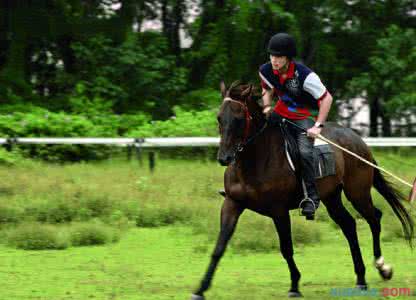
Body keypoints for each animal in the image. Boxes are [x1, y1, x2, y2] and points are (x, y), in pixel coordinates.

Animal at [191, 82, 412, 300]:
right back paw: (361, 278)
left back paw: (382, 267)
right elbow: (219, 247)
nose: (224, 158)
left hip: (357, 193)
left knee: (374, 218)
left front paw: (295, 285)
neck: (256, 160)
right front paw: (201, 288)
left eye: (238, 118)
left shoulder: (278, 211)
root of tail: (358, 140)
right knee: (349, 225)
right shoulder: (232, 204)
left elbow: (286, 248)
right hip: (332, 197)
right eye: (219, 117)